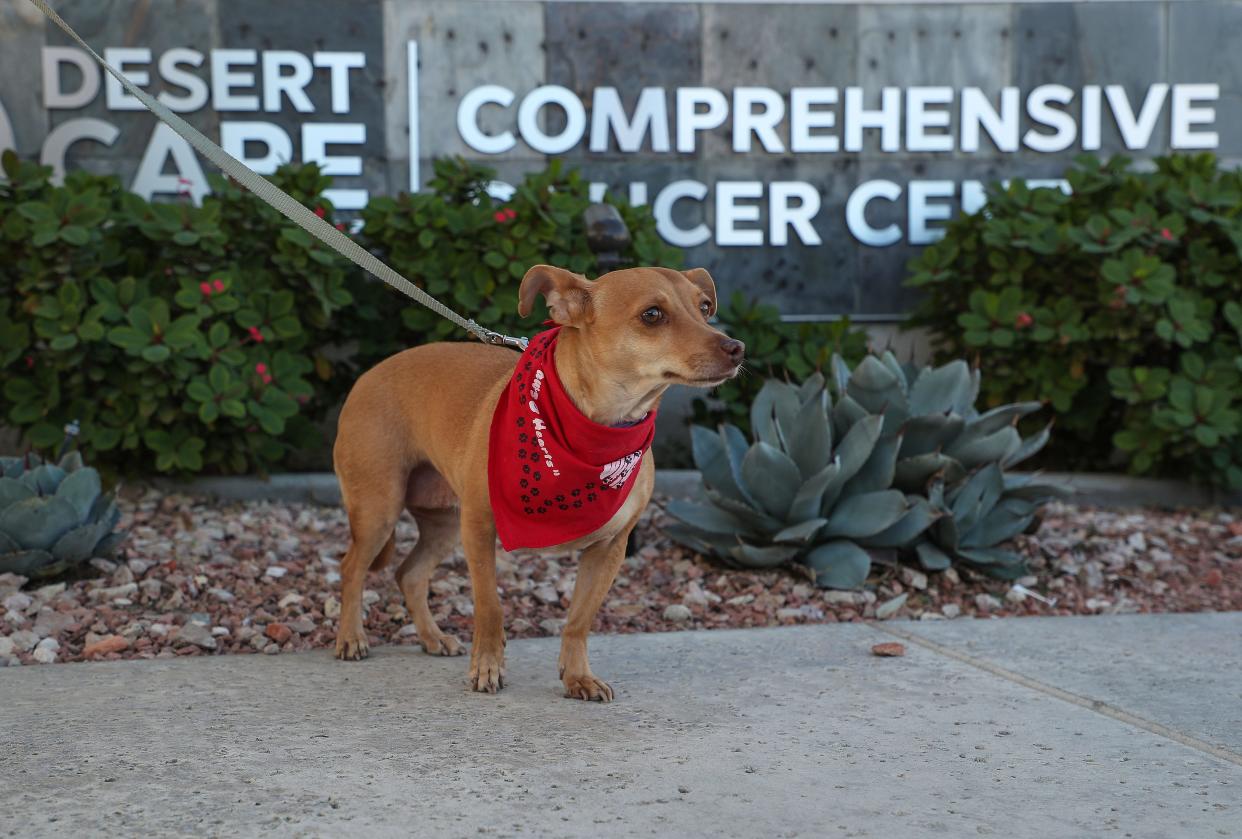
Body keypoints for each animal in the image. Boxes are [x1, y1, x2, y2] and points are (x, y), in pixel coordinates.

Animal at [330, 265, 740, 699]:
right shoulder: (479, 529)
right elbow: (489, 607)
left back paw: (432, 638)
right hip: (379, 510)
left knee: (409, 574)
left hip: (443, 524)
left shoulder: (609, 549)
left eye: (705, 308)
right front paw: (487, 668)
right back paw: (351, 637)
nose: (737, 348)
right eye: (652, 315)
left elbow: (579, 620)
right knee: (352, 567)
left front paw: (578, 677)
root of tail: (368, 375)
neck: (598, 428)